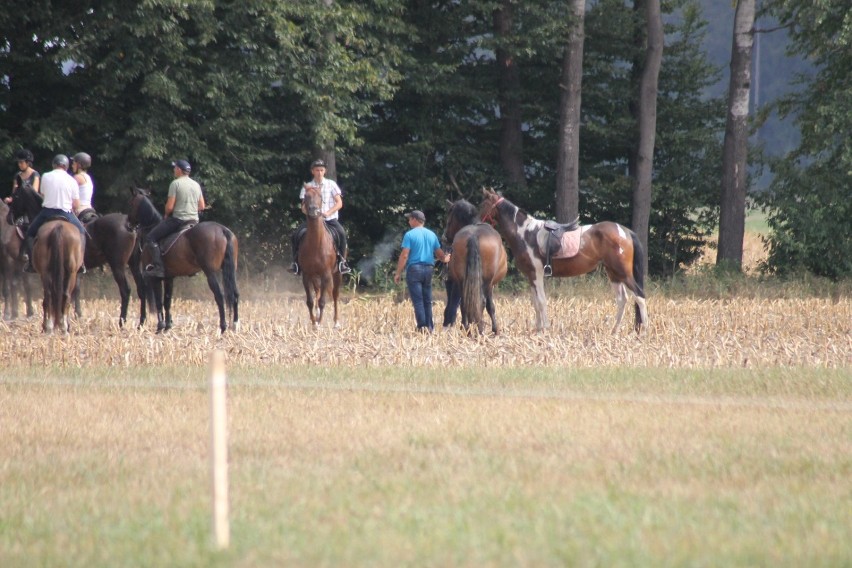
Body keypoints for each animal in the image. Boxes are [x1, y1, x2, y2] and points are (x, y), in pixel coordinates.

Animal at [126, 189, 240, 336]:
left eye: (131, 203)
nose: (128, 225)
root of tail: (222, 229)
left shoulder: (155, 278)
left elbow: (159, 302)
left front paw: (160, 327)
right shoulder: (169, 278)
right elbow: (167, 301)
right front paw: (167, 326)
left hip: (210, 272)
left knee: (219, 296)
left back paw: (223, 327)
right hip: (231, 271)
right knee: (235, 294)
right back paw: (235, 325)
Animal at [298, 184, 342, 326]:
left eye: (320, 196)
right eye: (306, 196)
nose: (313, 210)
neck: (315, 244)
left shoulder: (326, 274)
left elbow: (323, 301)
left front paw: (319, 323)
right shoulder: (306, 275)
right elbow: (310, 301)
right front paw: (314, 323)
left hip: (337, 273)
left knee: (335, 294)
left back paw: (336, 322)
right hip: (314, 276)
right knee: (317, 292)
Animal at [442, 199, 510, 332]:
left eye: (449, 220)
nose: (445, 237)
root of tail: (473, 236)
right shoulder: (490, 284)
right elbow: (490, 306)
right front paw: (495, 329)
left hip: (462, 280)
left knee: (465, 302)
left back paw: (466, 328)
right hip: (487, 281)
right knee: (482, 302)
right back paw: (480, 328)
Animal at [480, 189, 644, 336]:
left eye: (484, 203)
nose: (477, 219)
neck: (525, 233)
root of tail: (626, 231)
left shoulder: (537, 274)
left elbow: (541, 301)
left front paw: (544, 330)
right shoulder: (531, 276)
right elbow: (535, 303)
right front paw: (537, 330)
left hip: (623, 273)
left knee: (640, 296)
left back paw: (644, 332)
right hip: (614, 273)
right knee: (622, 300)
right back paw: (614, 332)